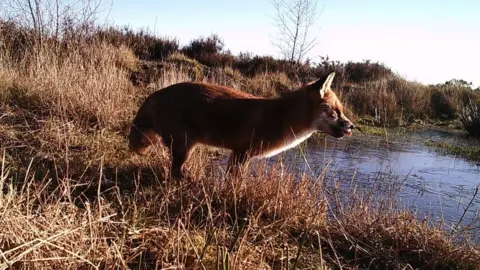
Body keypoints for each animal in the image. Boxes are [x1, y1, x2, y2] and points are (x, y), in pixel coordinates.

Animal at [129, 72, 354, 179]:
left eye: (341, 110)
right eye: (335, 112)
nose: (352, 126)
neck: (280, 118)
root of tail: (155, 94)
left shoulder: (237, 154)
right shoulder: (241, 154)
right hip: (185, 147)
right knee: (175, 172)